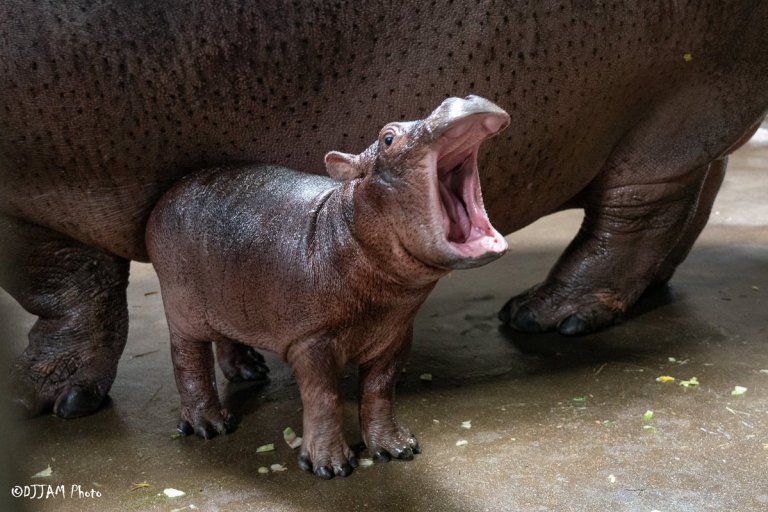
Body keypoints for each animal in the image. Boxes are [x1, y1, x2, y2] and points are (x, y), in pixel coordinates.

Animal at [1, 1, 768, 420]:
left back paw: (545, 314)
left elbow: (65, 289)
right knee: (696, 191)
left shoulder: (31, 196)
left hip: (673, 106)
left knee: (639, 211)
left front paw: (51, 399)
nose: (460, 94)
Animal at [146, 94, 510, 478]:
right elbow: (325, 398)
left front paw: (398, 448)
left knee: (225, 335)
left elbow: (380, 390)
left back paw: (250, 371)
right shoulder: (310, 341)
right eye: (388, 138)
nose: (461, 98)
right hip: (183, 309)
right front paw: (331, 467)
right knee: (188, 360)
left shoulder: (395, 333)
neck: (344, 225)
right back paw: (211, 425)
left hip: (227, 294)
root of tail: (169, 193)